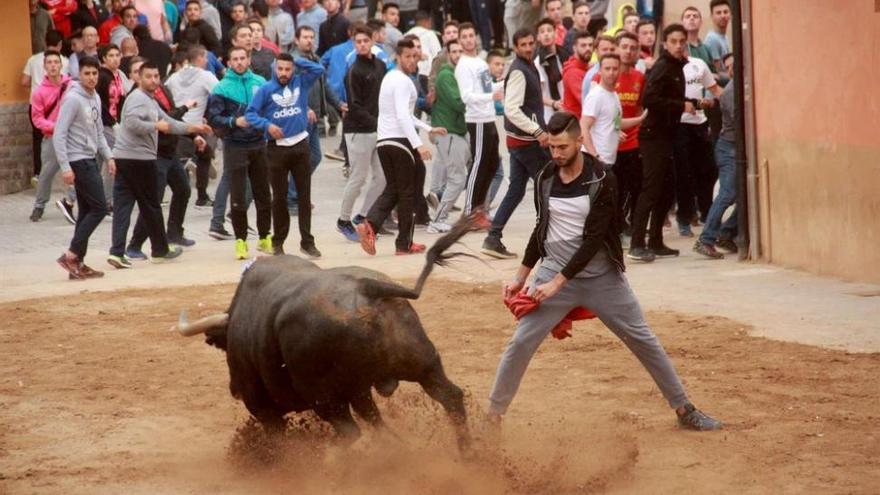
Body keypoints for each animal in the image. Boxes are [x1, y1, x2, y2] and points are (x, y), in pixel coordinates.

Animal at [174, 215, 484, 452]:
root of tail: (368, 289)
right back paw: (468, 454)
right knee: (450, 397)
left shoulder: (263, 407)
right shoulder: (359, 391)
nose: (233, 389)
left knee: (350, 432)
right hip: (422, 364)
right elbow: (376, 419)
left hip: (325, 398)